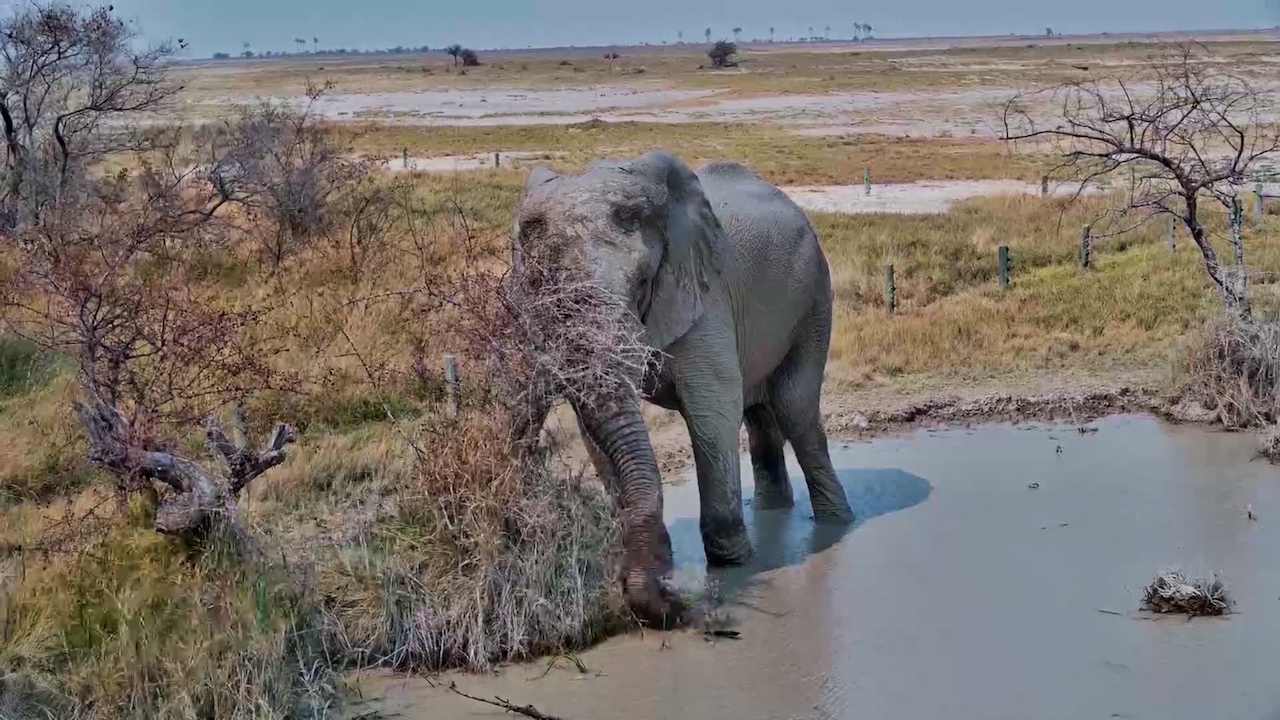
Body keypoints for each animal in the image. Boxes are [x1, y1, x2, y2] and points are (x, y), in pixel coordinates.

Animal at [513, 151, 854, 624]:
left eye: (643, 282)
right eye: (544, 294)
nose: (673, 595)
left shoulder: (704, 292)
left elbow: (711, 409)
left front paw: (732, 566)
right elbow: (595, 432)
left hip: (814, 296)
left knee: (795, 409)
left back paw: (837, 524)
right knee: (760, 415)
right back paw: (773, 511)